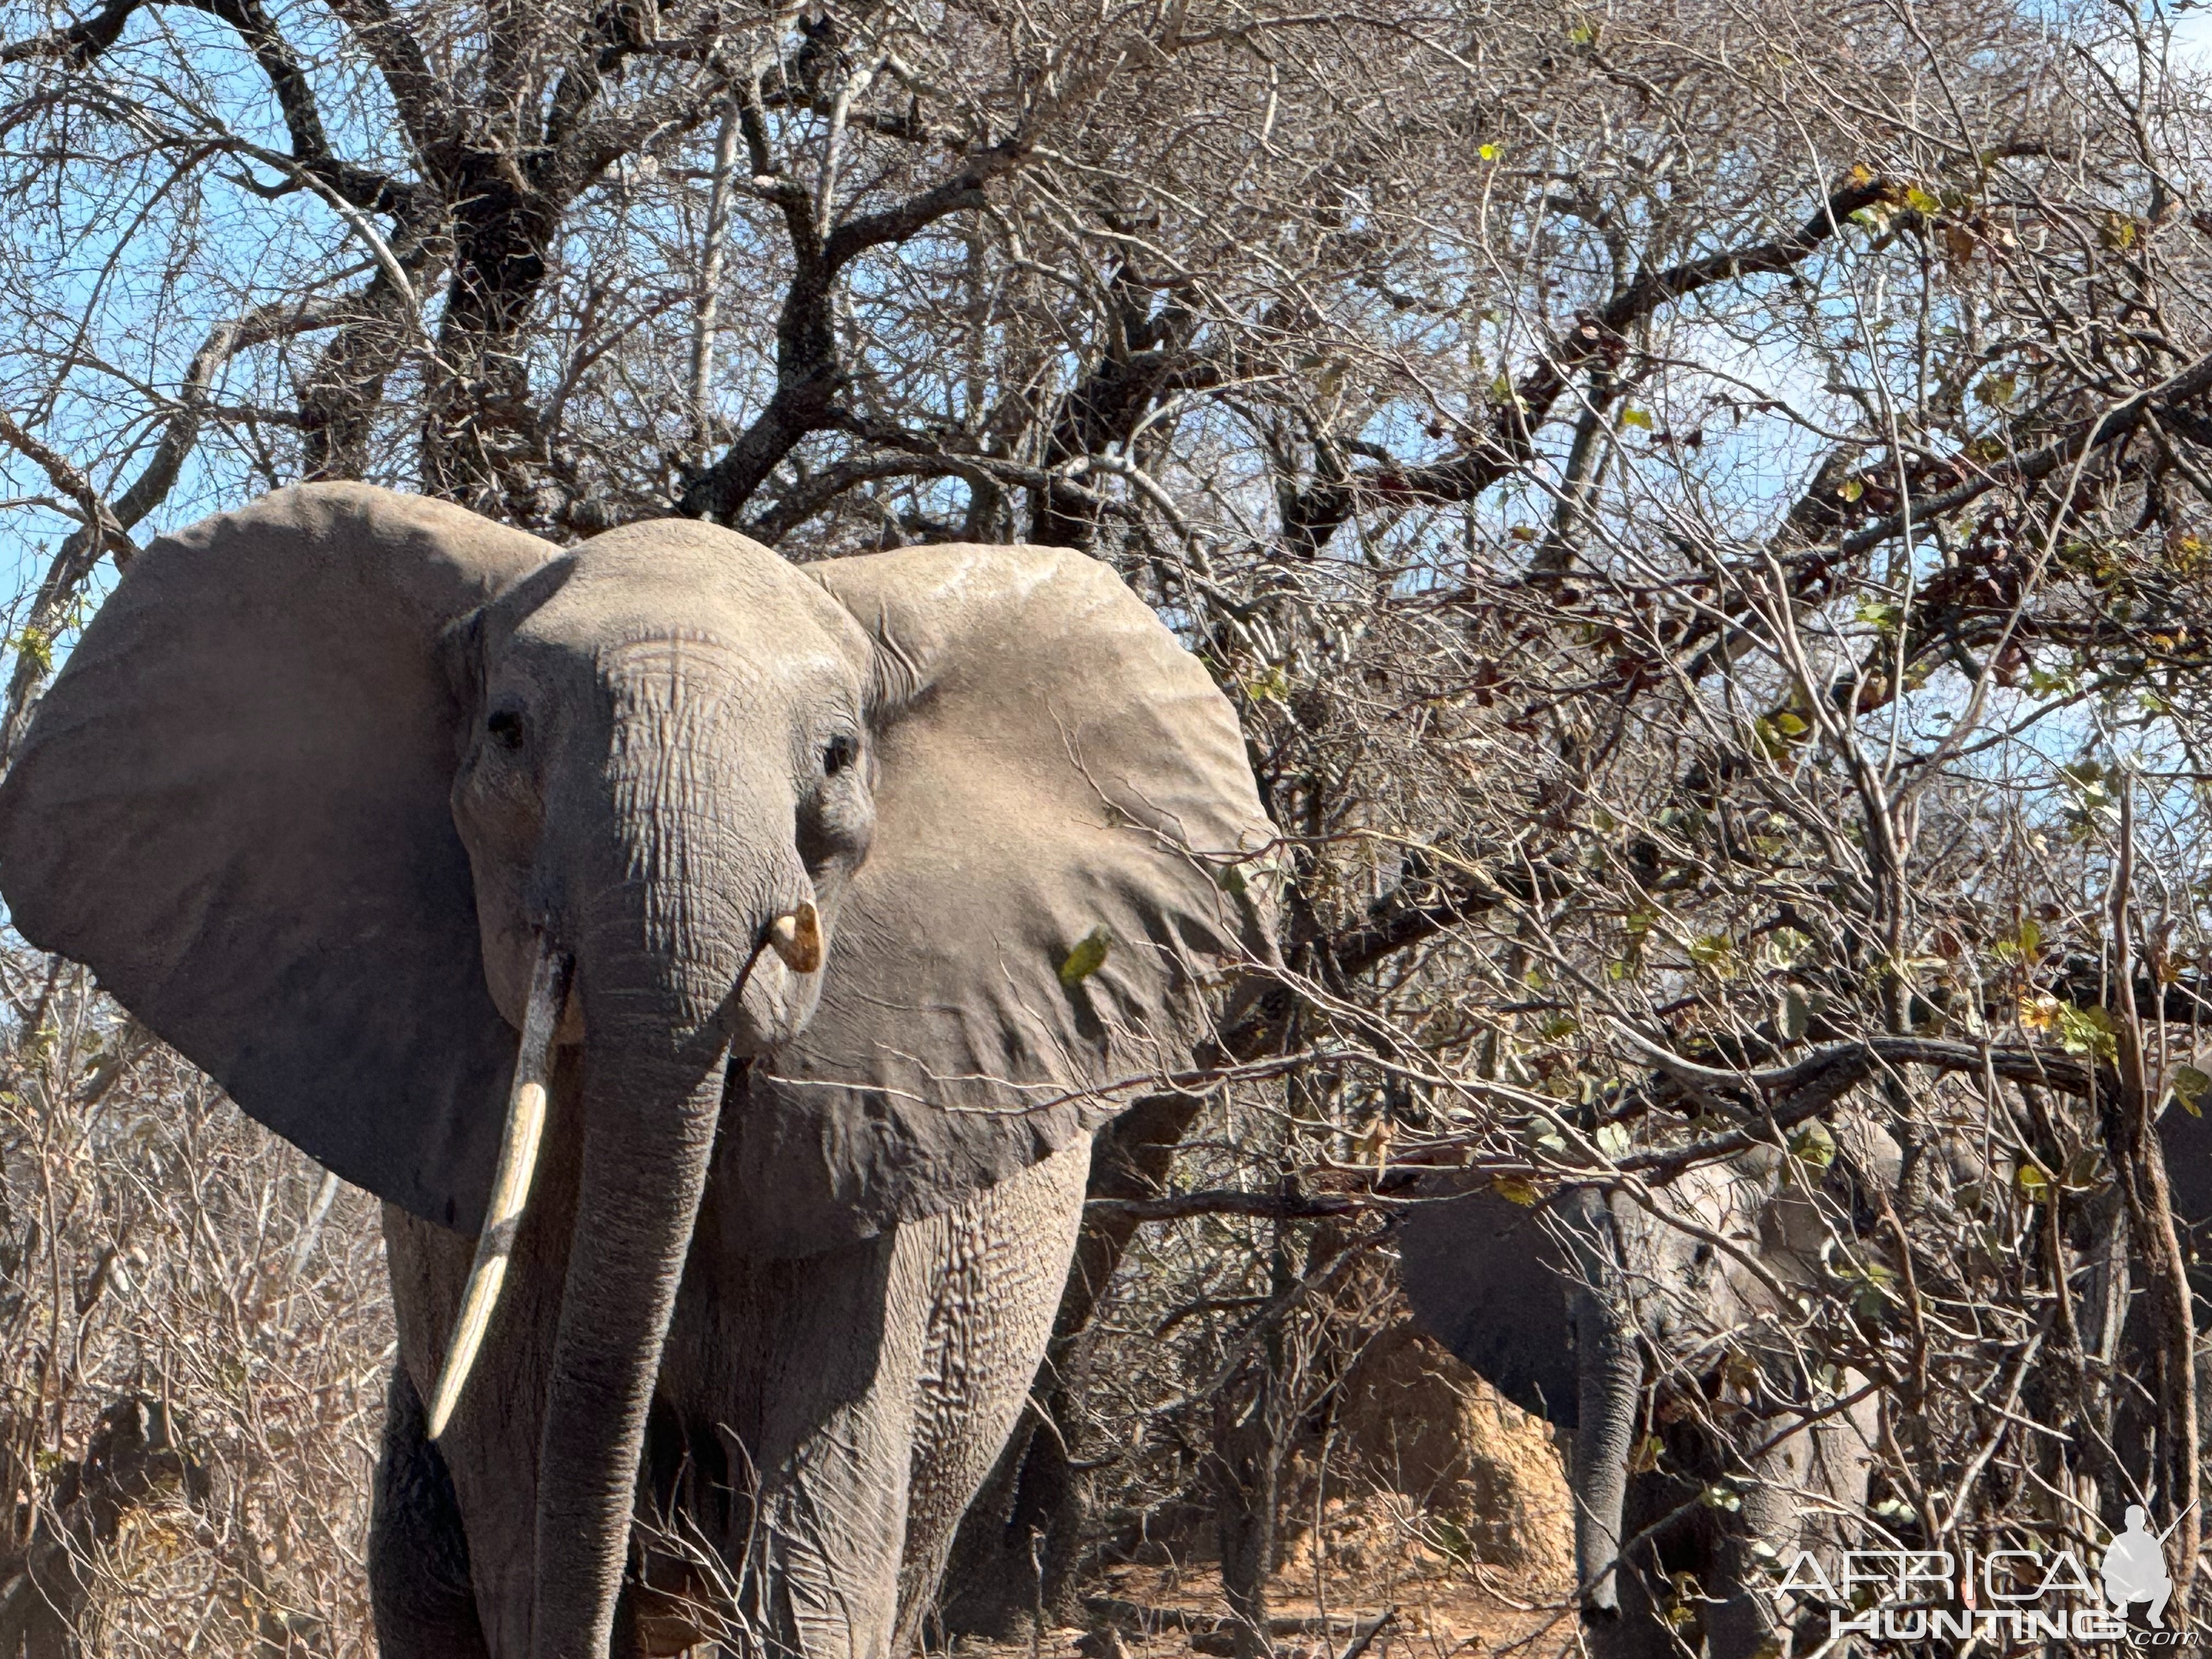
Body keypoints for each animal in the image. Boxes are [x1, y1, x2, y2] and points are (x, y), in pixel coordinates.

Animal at [0, 487, 1283, 1654]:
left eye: (838, 758)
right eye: (507, 730)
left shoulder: (881, 1178)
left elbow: (815, 1560)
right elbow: (525, 1510)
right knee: (424, 1568)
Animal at [1398, 1150, 1884, 1659]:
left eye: (1702, 1257)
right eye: (1561, 1265)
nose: (1597, 1609)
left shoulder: (1772, 1414)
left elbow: (1748, 1603)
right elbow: (1637, 1614)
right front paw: (1619, 1610)